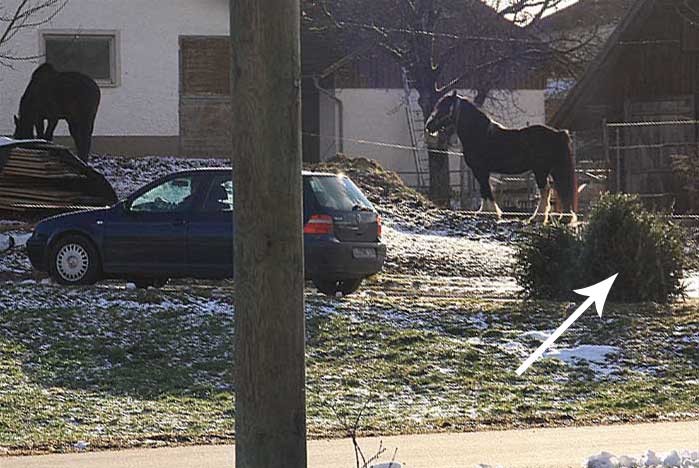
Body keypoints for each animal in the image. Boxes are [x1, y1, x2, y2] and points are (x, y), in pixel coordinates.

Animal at [424, 92, 576, 224]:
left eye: (444, 108)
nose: (428, 126)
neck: (480, 134)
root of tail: (558, 133)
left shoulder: (480, 170)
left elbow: (485, 189)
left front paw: (489, 213)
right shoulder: (482, 171)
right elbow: (484, 190)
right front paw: (486, 211)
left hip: (541, 170)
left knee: (546, 190)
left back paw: (537, 218)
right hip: (554, 169)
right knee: (560, 190)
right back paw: (563, 218)